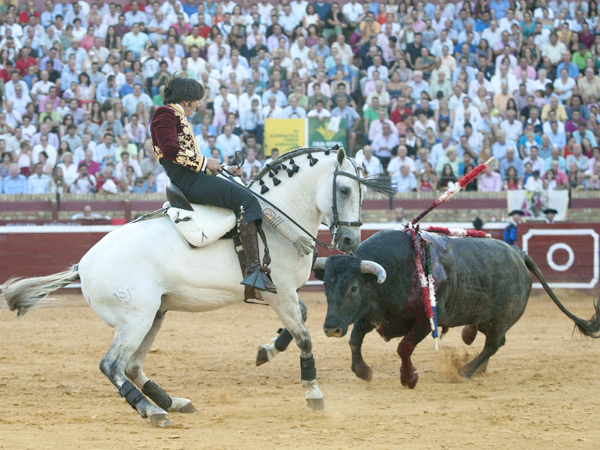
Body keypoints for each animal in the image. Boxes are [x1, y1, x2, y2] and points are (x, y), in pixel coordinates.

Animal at [2, 147, 364, 426]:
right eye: (344, 190)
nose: (349, 240)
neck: (279, 219)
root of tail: (84, 264)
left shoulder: (281, 295)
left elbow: (300, 320)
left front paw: (267, 351)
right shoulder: (281, 292)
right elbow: (304, 336)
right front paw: (313, 393)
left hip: (155, 315)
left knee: (132, 366)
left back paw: (172, 402)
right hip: (136, 319)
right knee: (113, 365)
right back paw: (152, 411)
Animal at [314, 230, 600, 388]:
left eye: (353, 288)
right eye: (326, 287)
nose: (331, 328)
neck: (396, 271)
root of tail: (519, 254)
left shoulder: (424, 321)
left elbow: (404, 347)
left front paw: (409, 378)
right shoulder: (373, 315)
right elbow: (355, 340)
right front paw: (364, 371)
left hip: (501, 319)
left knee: (493, 344)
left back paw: (466, 371)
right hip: (490, 319)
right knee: (492, 340)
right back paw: (473, 349)